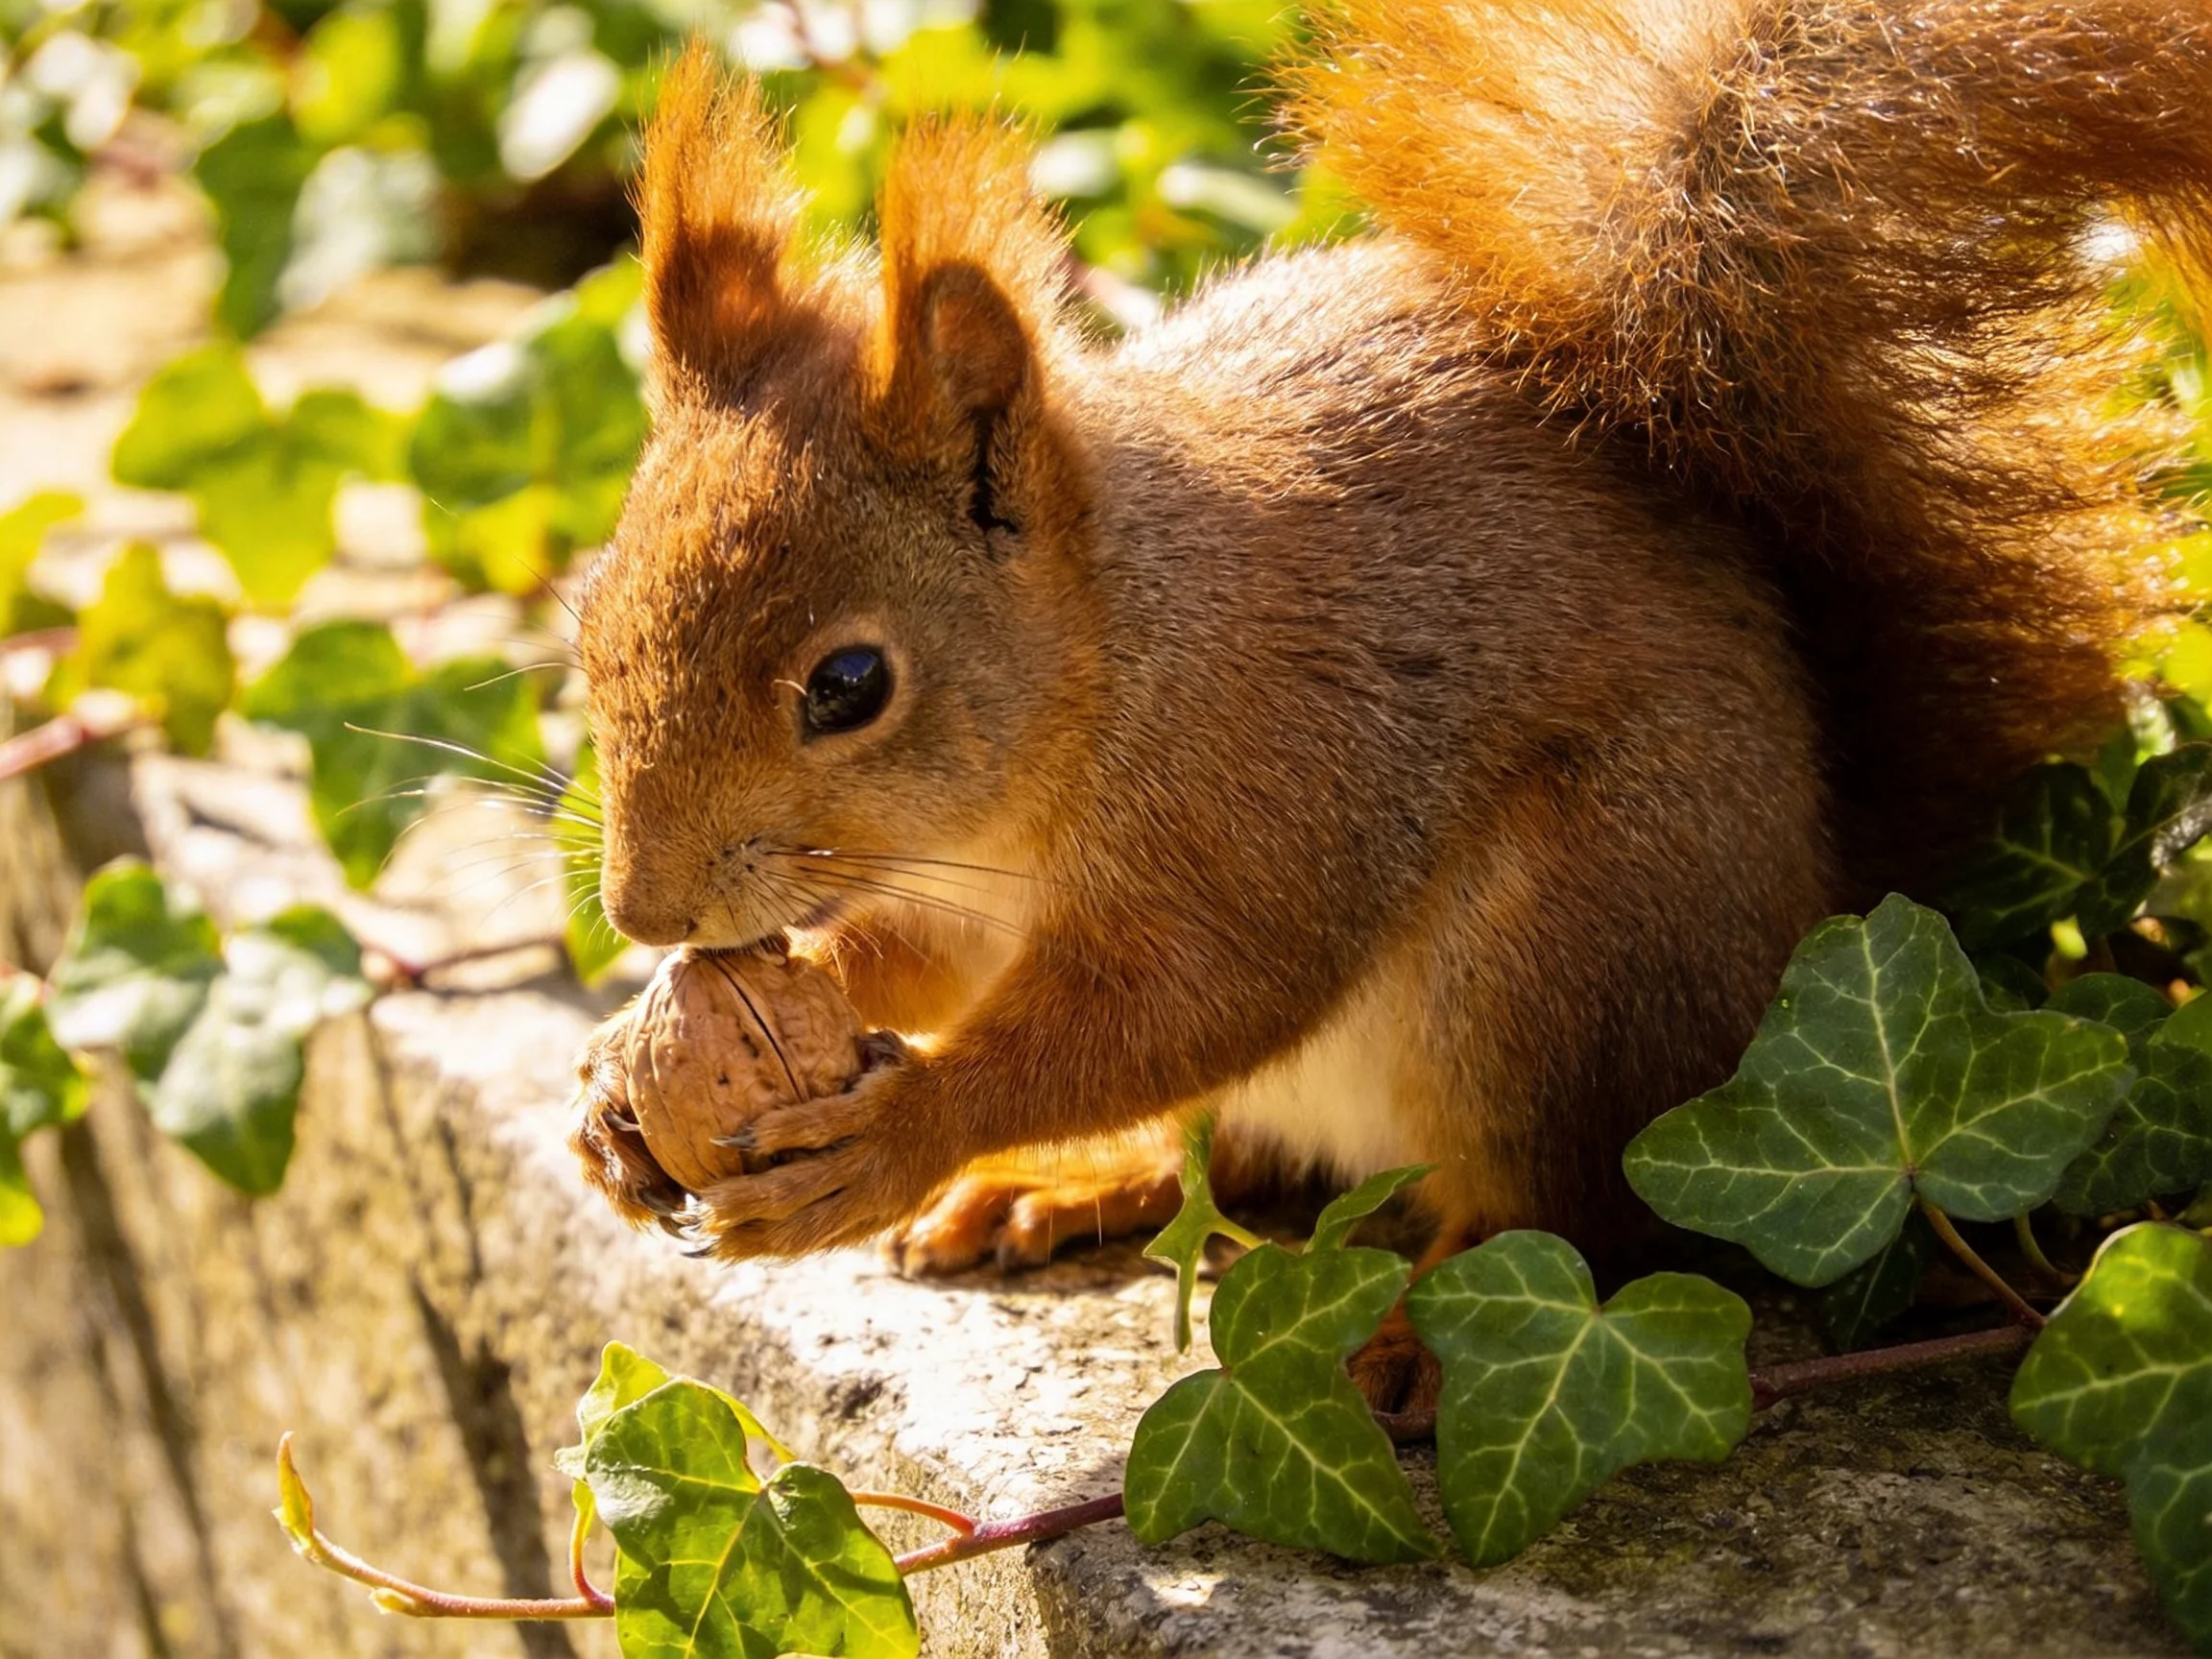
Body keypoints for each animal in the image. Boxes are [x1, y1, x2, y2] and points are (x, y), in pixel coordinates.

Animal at [572, 0, 2210, 1394]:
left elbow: (1190, 1000)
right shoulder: (958, 903)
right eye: (588, 618)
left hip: (1565, 958)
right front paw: (619, 1083)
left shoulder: (1271, 775)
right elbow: (916, 969)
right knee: (1246, 1161)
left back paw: (1424, 1333)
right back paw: (1081, 1177)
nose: (645, 913)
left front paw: (906, 1132)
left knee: (1566, 1213)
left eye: (850, 685)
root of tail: (1829, 900)